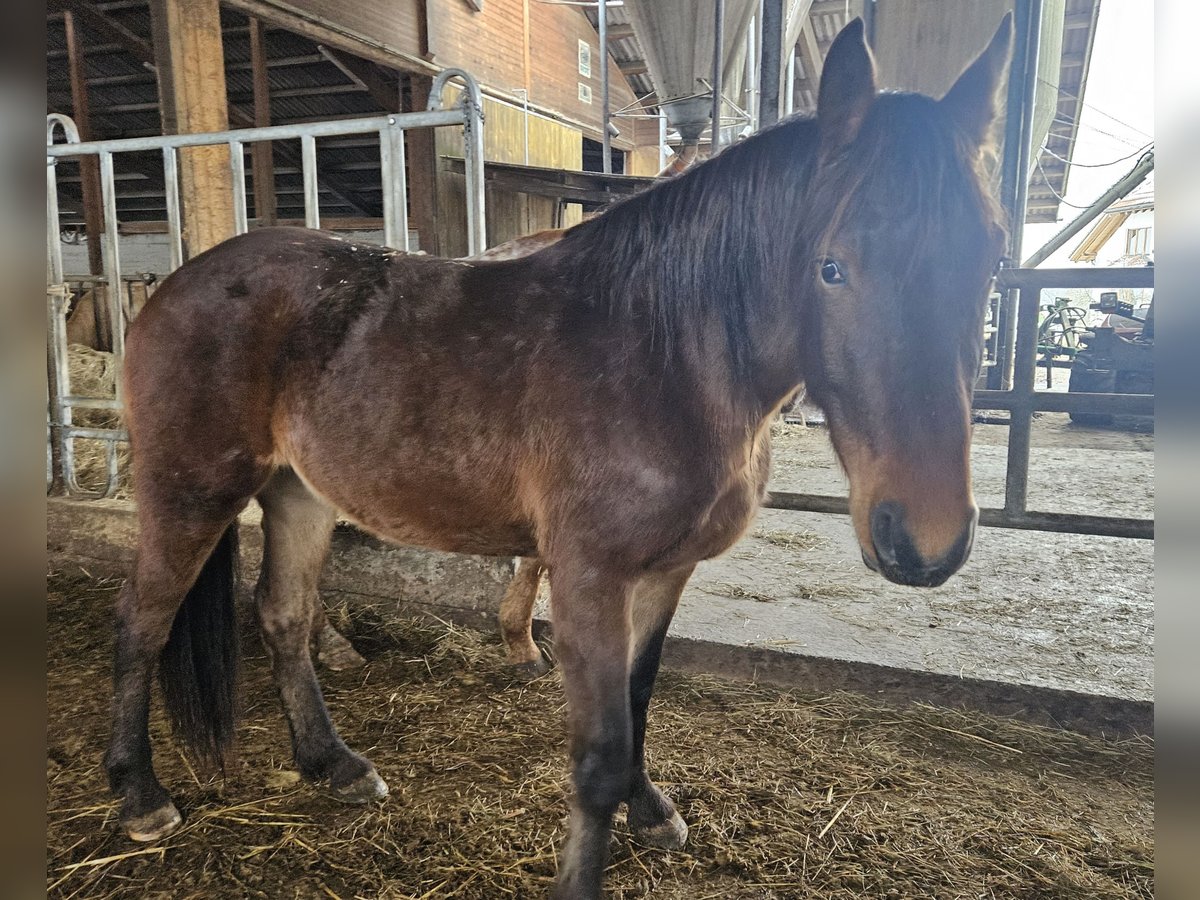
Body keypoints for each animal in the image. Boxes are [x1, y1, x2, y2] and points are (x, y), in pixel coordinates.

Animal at [110, 17, 1012, 897]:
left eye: (993, 259)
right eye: (832, 267)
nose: (926, 539)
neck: (665, 353)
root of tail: (174, 284)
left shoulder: (666, 572)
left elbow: (640, 697)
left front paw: (653, 810)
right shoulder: (588, 577)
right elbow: (599, 754)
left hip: (298, 493)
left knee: (284, 615)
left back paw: (333, 764)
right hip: (190, 491)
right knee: (143, 622)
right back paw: (140, 796)